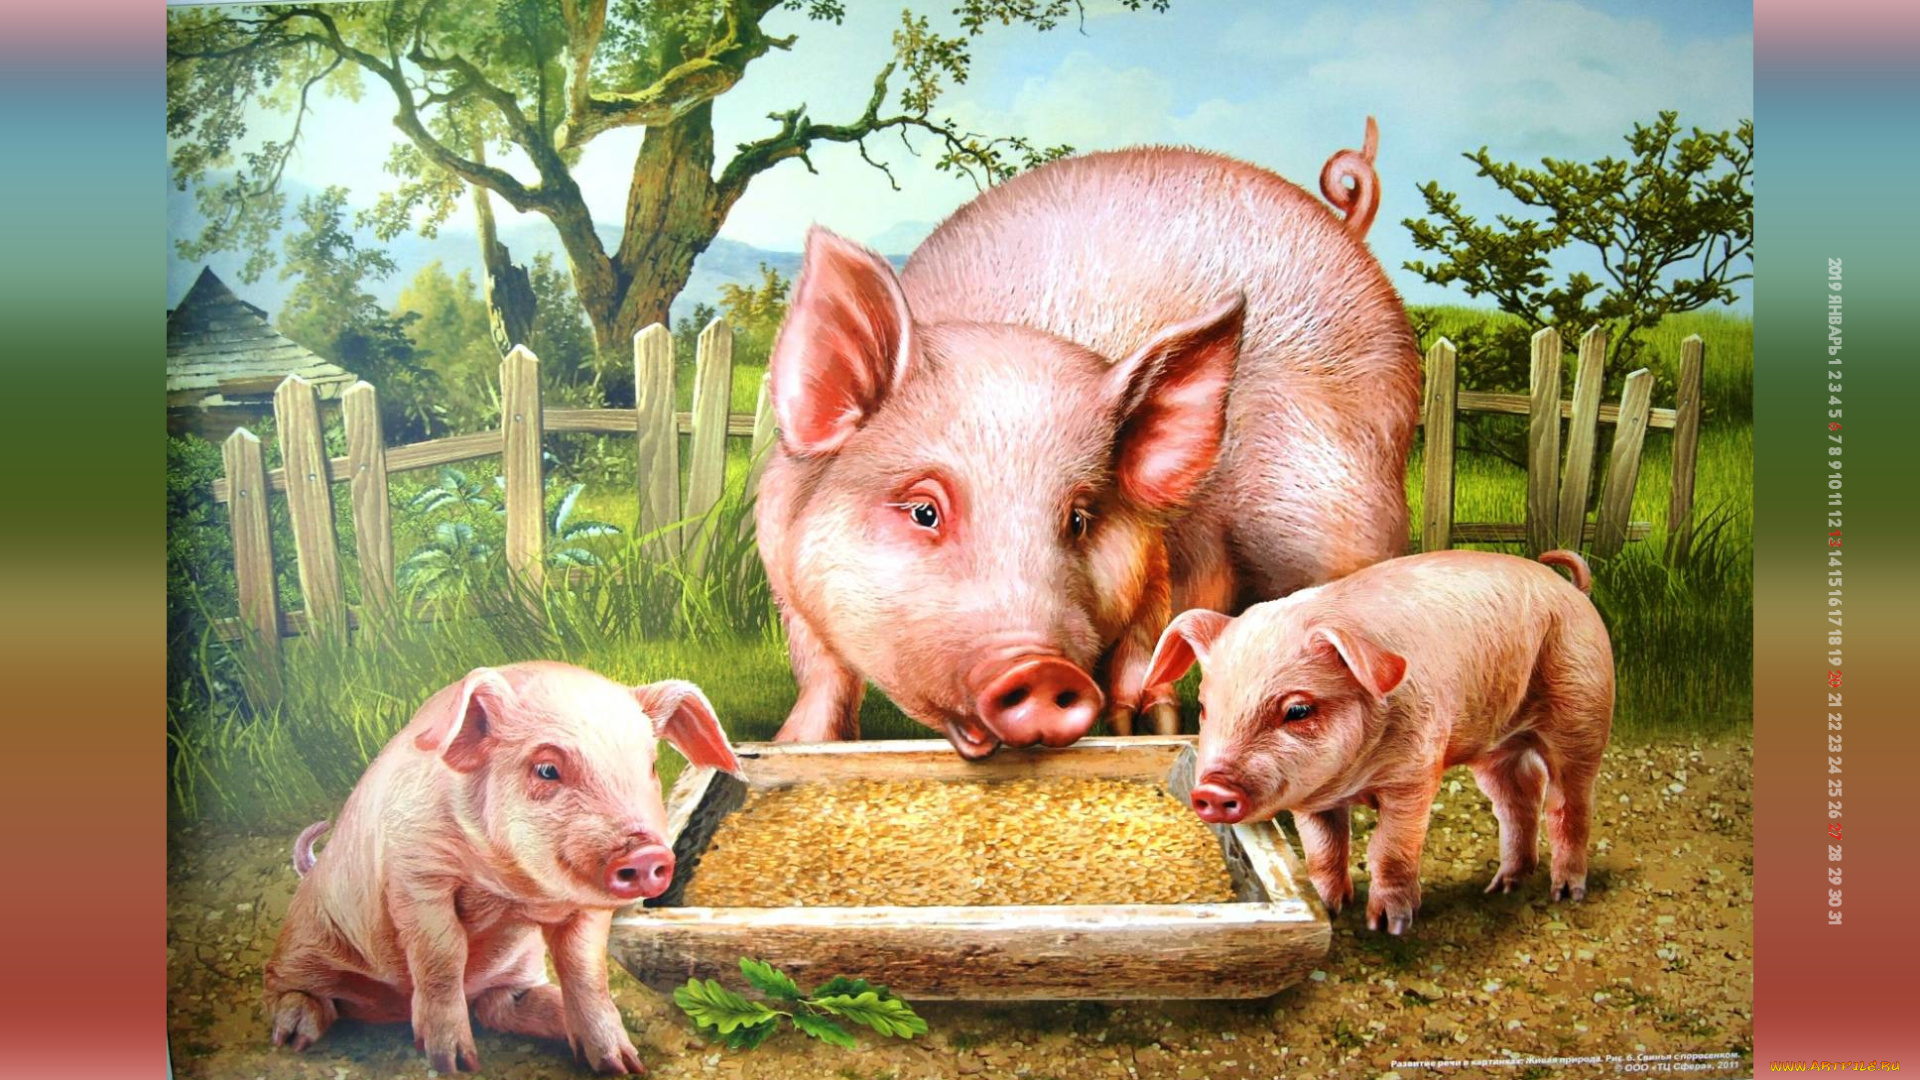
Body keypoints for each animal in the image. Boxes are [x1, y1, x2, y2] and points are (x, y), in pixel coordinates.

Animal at [262, 661, 742, 1074]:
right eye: (546, 769)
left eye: (651, 766)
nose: (646, 854)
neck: (513, 889)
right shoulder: (417, 875)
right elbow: (441, 958)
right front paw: (455, 1064)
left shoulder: (586, 909)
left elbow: (586, 971)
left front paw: (622, 1065)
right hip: (304, 943)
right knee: (291, 987)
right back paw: (294, 1036)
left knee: (498, 1006)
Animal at [755, 123, 1421, 759]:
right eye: (924, 510)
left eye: (1079, 518)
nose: (1041, 669)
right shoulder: (784, 575)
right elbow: (823, 672)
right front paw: (795, 742)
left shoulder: (1155, 553)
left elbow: (1146, 637)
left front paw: (1146, 726)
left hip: (1337, 515)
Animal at [1144, 550, 1613, 934]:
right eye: (1206, 706)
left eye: (1298, 710)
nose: (1210, 790)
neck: (1353, 779)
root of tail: (1573, 590)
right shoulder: (1312, 797)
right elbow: (1323, 850)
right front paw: (1327, 908)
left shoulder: (1416, 774)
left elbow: (1390, 848)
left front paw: (1389, 927)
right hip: (1497, 747)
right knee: (1517, 799)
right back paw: (1502, 887)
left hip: (1583, 712)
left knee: (1569, 803)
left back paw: (1565, 893)